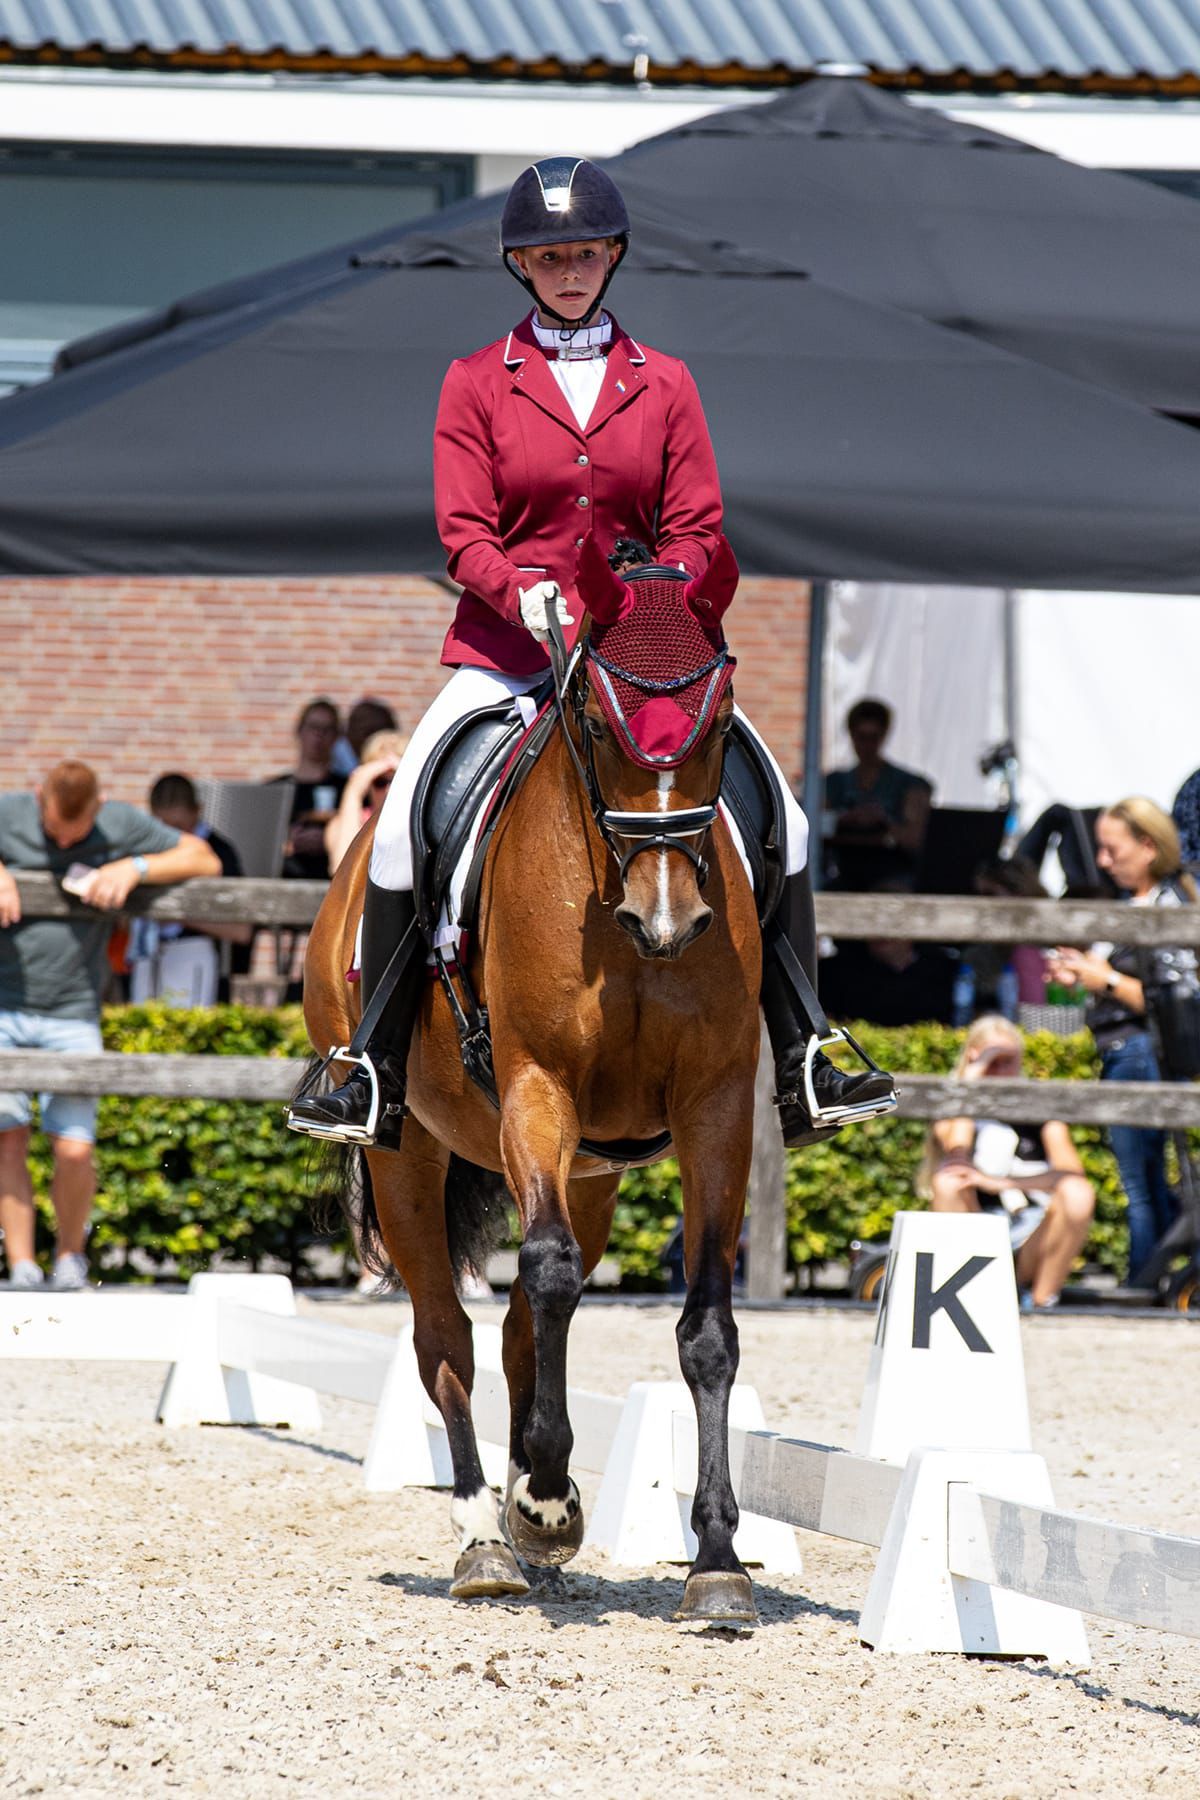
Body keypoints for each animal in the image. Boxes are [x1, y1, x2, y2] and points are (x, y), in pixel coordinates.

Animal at [303, 537, 765, 1624]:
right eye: (596, 720)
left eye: (722, 716)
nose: (669, 920)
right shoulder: (536, 1089)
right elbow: (542, 1276)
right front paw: (546, 1498)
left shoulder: (716, 1106)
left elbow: (708, 1328)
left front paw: (716, 1559)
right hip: (408, 1156)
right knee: (447, 1336)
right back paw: (488, 1536)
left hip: (593, 1175)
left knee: (520, 1325)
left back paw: (527, 1520)